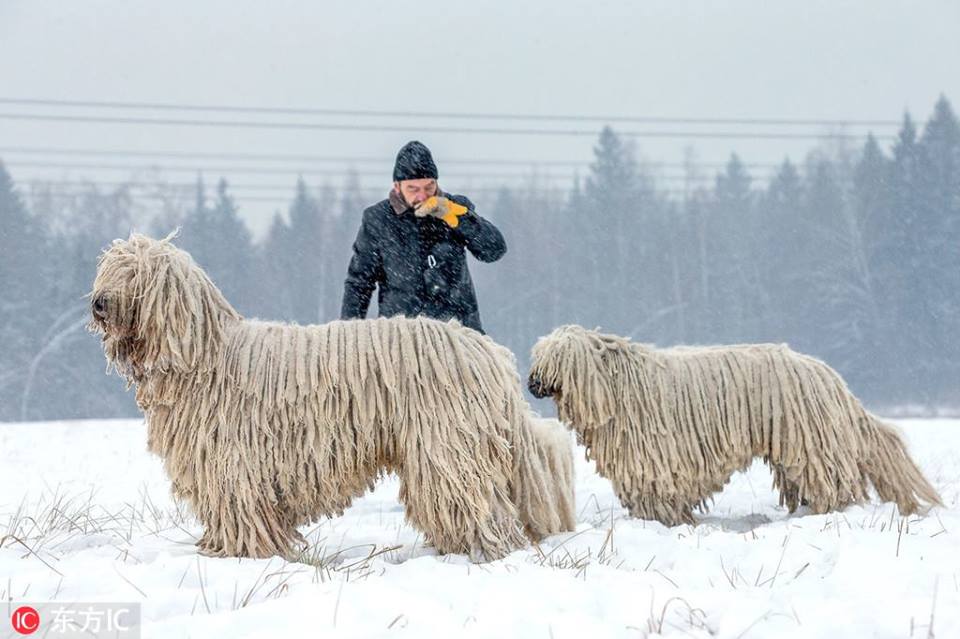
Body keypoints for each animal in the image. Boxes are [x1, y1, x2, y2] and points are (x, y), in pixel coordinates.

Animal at [90, 235, 572, 560]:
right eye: (110, 269)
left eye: (137, 274)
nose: (98, 302)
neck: (203, 355)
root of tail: (488, 354)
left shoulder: (235, 462)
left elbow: (240, 507)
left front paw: (240, 553)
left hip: (447, 444)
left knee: (477, 502)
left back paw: (484, 549)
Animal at [524, 324, 936, 524]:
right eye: (537, 358)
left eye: (555, 359)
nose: (531, 383)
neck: (616, 386)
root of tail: (828, 376)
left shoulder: (657, 460)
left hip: (813, 444)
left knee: (833, 484)